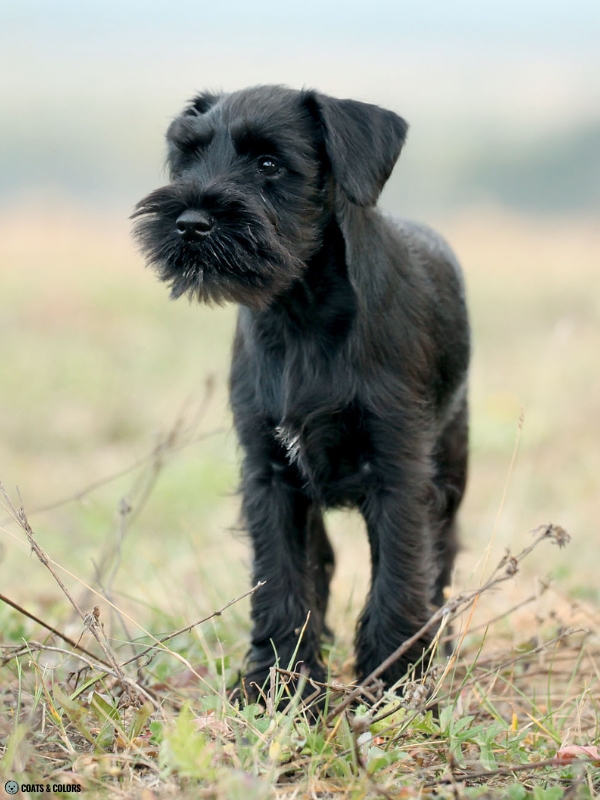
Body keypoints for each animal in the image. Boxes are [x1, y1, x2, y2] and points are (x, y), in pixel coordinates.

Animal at [134, 84, 472, 700]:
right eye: (188, 157)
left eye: (269, 165)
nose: (191, 221)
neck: (302, 312)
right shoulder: (270, 476)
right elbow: (283, 583)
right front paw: (279, 686)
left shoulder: (400, 473)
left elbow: (398, 579)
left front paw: (394, 684)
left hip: (452, 464)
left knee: (440, 556)